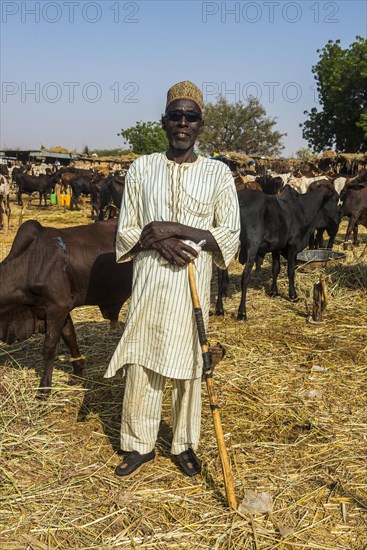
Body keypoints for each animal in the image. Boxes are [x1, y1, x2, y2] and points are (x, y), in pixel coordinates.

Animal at [0, 222, 133, 398]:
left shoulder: (57, 307)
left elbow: (49, 348)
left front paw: (44, 388)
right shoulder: (61, 309)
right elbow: (70, 337)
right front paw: (77, 373)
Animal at [217, 185, 340, 322]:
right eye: (335, 199)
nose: (338, 219)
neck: (302, 209)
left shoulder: (276, 247)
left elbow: (275, 268)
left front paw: (274, 292)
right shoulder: (292, 246)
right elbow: (290, 271)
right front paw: (293, 295)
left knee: (220, 276)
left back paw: (219, 309)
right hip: (251, 246)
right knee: (245, 276)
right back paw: (242, 312)